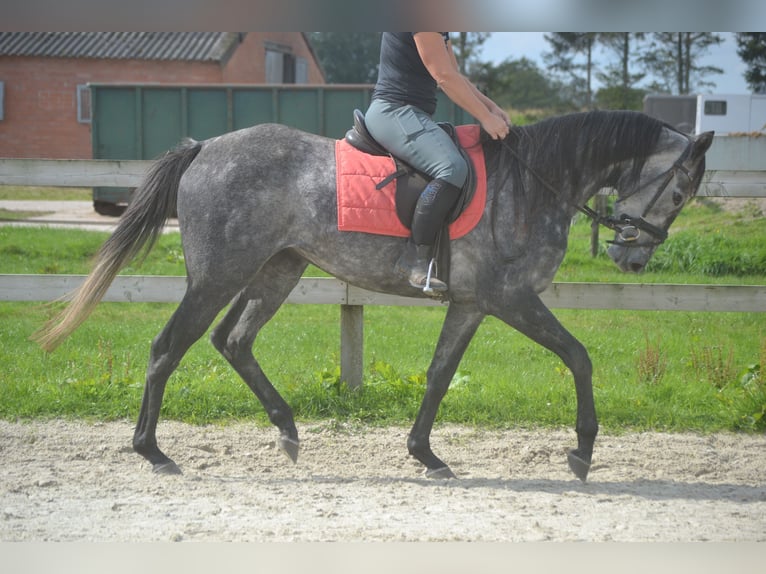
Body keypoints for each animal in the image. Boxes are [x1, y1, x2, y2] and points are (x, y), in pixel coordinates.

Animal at [34, 110, 720, 484]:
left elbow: (440, 374)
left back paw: (287, 430)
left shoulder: (471, 304)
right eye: (679, 192)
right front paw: (581, 449)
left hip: (277, 270)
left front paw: (426, 454)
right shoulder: (512, 299)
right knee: (168, 346)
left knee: (234, 341)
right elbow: (579, 356)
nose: (632, 257)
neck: (533, 184)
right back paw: (152, 451)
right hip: (218, 277)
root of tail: (205, 149)